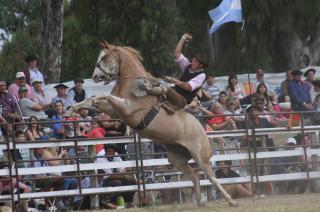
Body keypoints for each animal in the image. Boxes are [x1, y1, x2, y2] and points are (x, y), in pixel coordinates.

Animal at [70, 41, 236, 207]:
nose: (95, 76)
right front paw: (71, 110)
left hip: (200, 155)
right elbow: (94, 99)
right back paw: (200, 201)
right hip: (177, 159)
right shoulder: (115, 112)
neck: (131, 83)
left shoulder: (127, 107)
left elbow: (104, 96)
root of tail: (201, 127)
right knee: (194, 175)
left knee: (211, 177)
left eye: (104, 57)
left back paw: (230, 200)